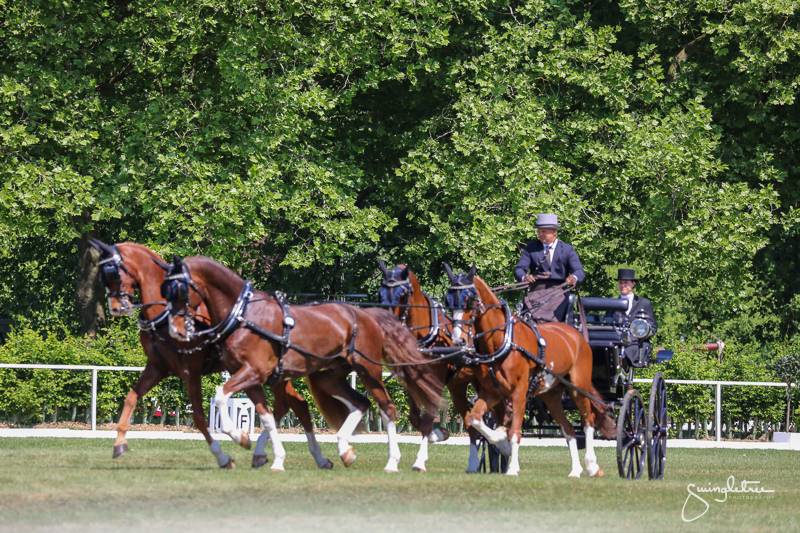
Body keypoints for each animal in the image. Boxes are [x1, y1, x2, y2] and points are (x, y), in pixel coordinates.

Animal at [89, 240, 334, 470]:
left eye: (114, 272)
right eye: (103, 276)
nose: (116, 308)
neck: (163, 315)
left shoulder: (190, 370)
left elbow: (198, 416)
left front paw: (225, 455)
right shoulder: (157, 367)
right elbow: (131, 397)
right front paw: (119, 443)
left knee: (292, 406)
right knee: (292, 405)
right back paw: (297, 456)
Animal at [160, 255, 444, 472]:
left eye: (179, 290)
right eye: (165, 290)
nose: (174, 328)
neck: (245, 316)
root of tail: (367, 314)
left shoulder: (253, 372)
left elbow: (222, 395)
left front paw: (240, 437)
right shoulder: (251, 377)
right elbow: (267, 416)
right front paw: (274, 458)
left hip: (368, 370)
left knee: (387, 408)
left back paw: (392, 461)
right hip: (328, 376)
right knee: (360, 403)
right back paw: (344, 449)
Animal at [376, 260, 503, 472]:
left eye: (402, 295)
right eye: (380, 294)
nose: (385, 328)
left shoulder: (435, 381)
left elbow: (428, 419)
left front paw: (420, 460)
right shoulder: (412, 382)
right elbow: (415, 418)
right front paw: (438, 434)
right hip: (457, 387)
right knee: (470, 423)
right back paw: (473, 463)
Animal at [445, 267, 615, 477]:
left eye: (470, 300)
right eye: (448, 300)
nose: (458, 340)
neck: (503, 340)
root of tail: (576, 335)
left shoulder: (519, 391)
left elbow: (515, 430)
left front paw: (512, 467)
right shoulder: (493, 392)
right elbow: (474, 419)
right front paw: (501, 441)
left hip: (577, 386)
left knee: (588, 420)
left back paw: (592, 466)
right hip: (551, 395)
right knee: (568, 429)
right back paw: (575, 470)